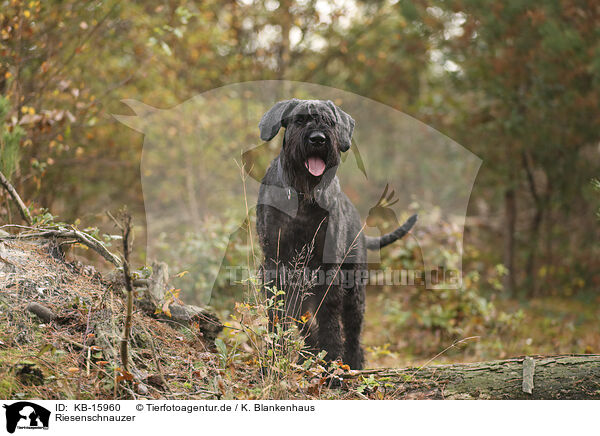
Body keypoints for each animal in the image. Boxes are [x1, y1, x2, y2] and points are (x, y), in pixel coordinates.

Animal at [254, 99, 418, 368]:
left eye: (330, 122)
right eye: (300, 119)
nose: (318, 139)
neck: (303, 196)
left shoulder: (328, 270)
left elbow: (329, 319)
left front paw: (330, 360)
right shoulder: (275, 264)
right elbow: (282, 315)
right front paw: (275, 357)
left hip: (355, 291)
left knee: (353, 331)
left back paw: (351, 363)